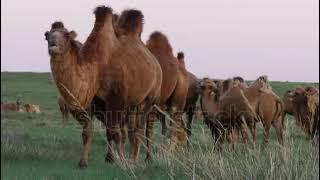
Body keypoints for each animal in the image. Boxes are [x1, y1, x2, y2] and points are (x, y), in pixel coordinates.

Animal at [44, 6, 162, 167]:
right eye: (46, 35)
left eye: (66, 35)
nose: (53, 43)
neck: (96, 68)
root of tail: (155, 62)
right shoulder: (94, 102)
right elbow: (89, 132)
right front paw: (86, 162)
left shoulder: (117, 99)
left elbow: (116, 133)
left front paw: (122, 162)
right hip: (132, 104)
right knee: (132, 129)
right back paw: (131, 157)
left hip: (151, 98)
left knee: (140, 128)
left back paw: (137, 159)